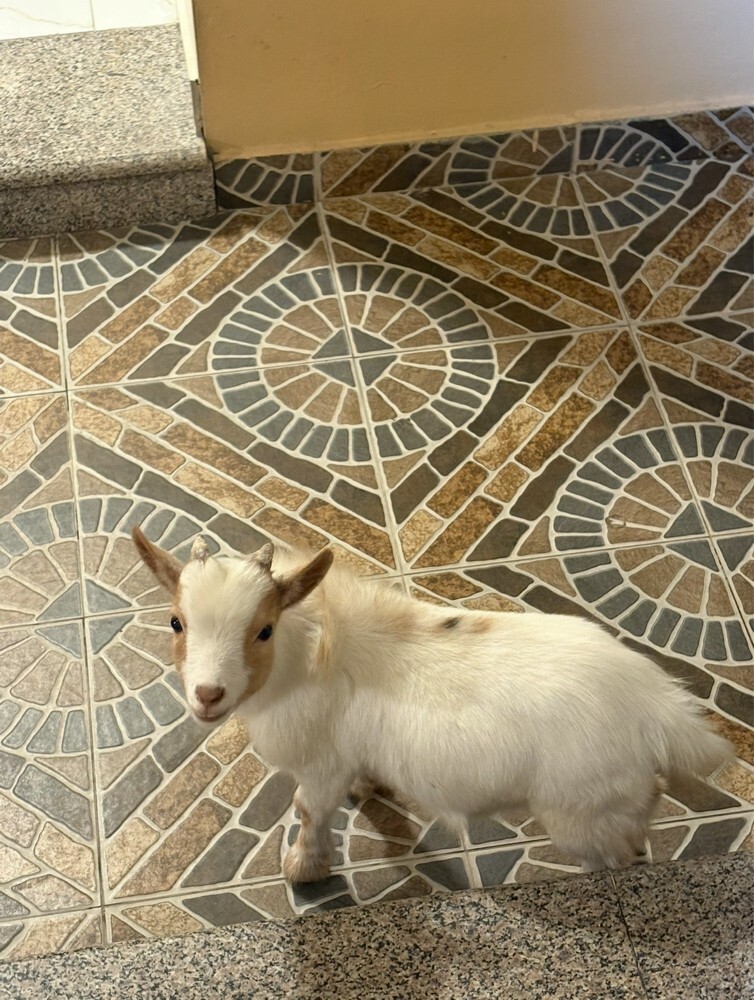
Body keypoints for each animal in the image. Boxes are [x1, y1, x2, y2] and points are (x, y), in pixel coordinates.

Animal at [132, 527, 731, 883]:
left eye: (263, 630)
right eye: (176, 622)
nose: (208, 695)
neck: (311, 658)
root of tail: (657, 704)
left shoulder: (321, 765)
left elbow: (308, 809)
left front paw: (304, 868)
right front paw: (368, 790)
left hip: (581, 812)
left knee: (616, 854)